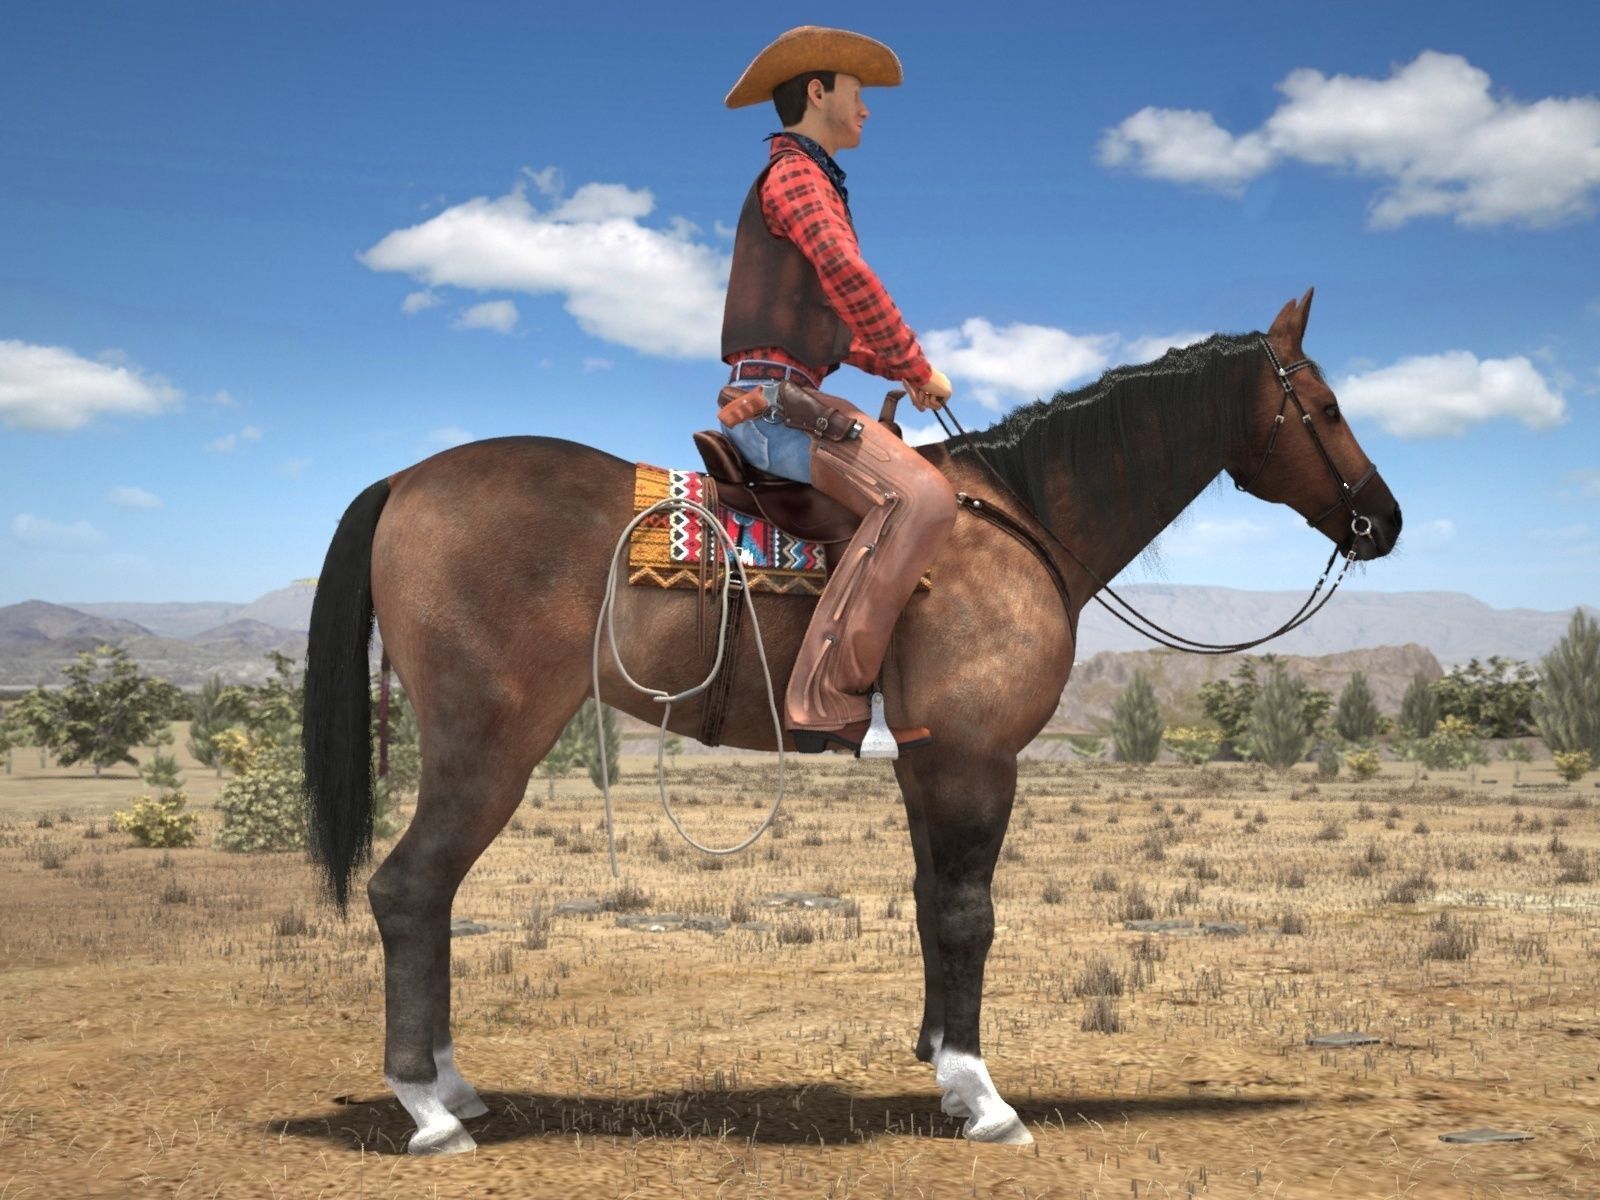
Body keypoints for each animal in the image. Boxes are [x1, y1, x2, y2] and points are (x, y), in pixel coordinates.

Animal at [300, 289, 1402, 1153]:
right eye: (1327, 407)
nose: (1382, 520)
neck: (1020, 521)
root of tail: (406, 480)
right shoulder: (975, 759)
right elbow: (967, 913)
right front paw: (983, 1096)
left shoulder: (927, 763)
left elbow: (928, 904)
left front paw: (943, 1069)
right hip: (487, 748)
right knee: (409, 890)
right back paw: (428, 1110)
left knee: (431, 896)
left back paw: (456, 1090)